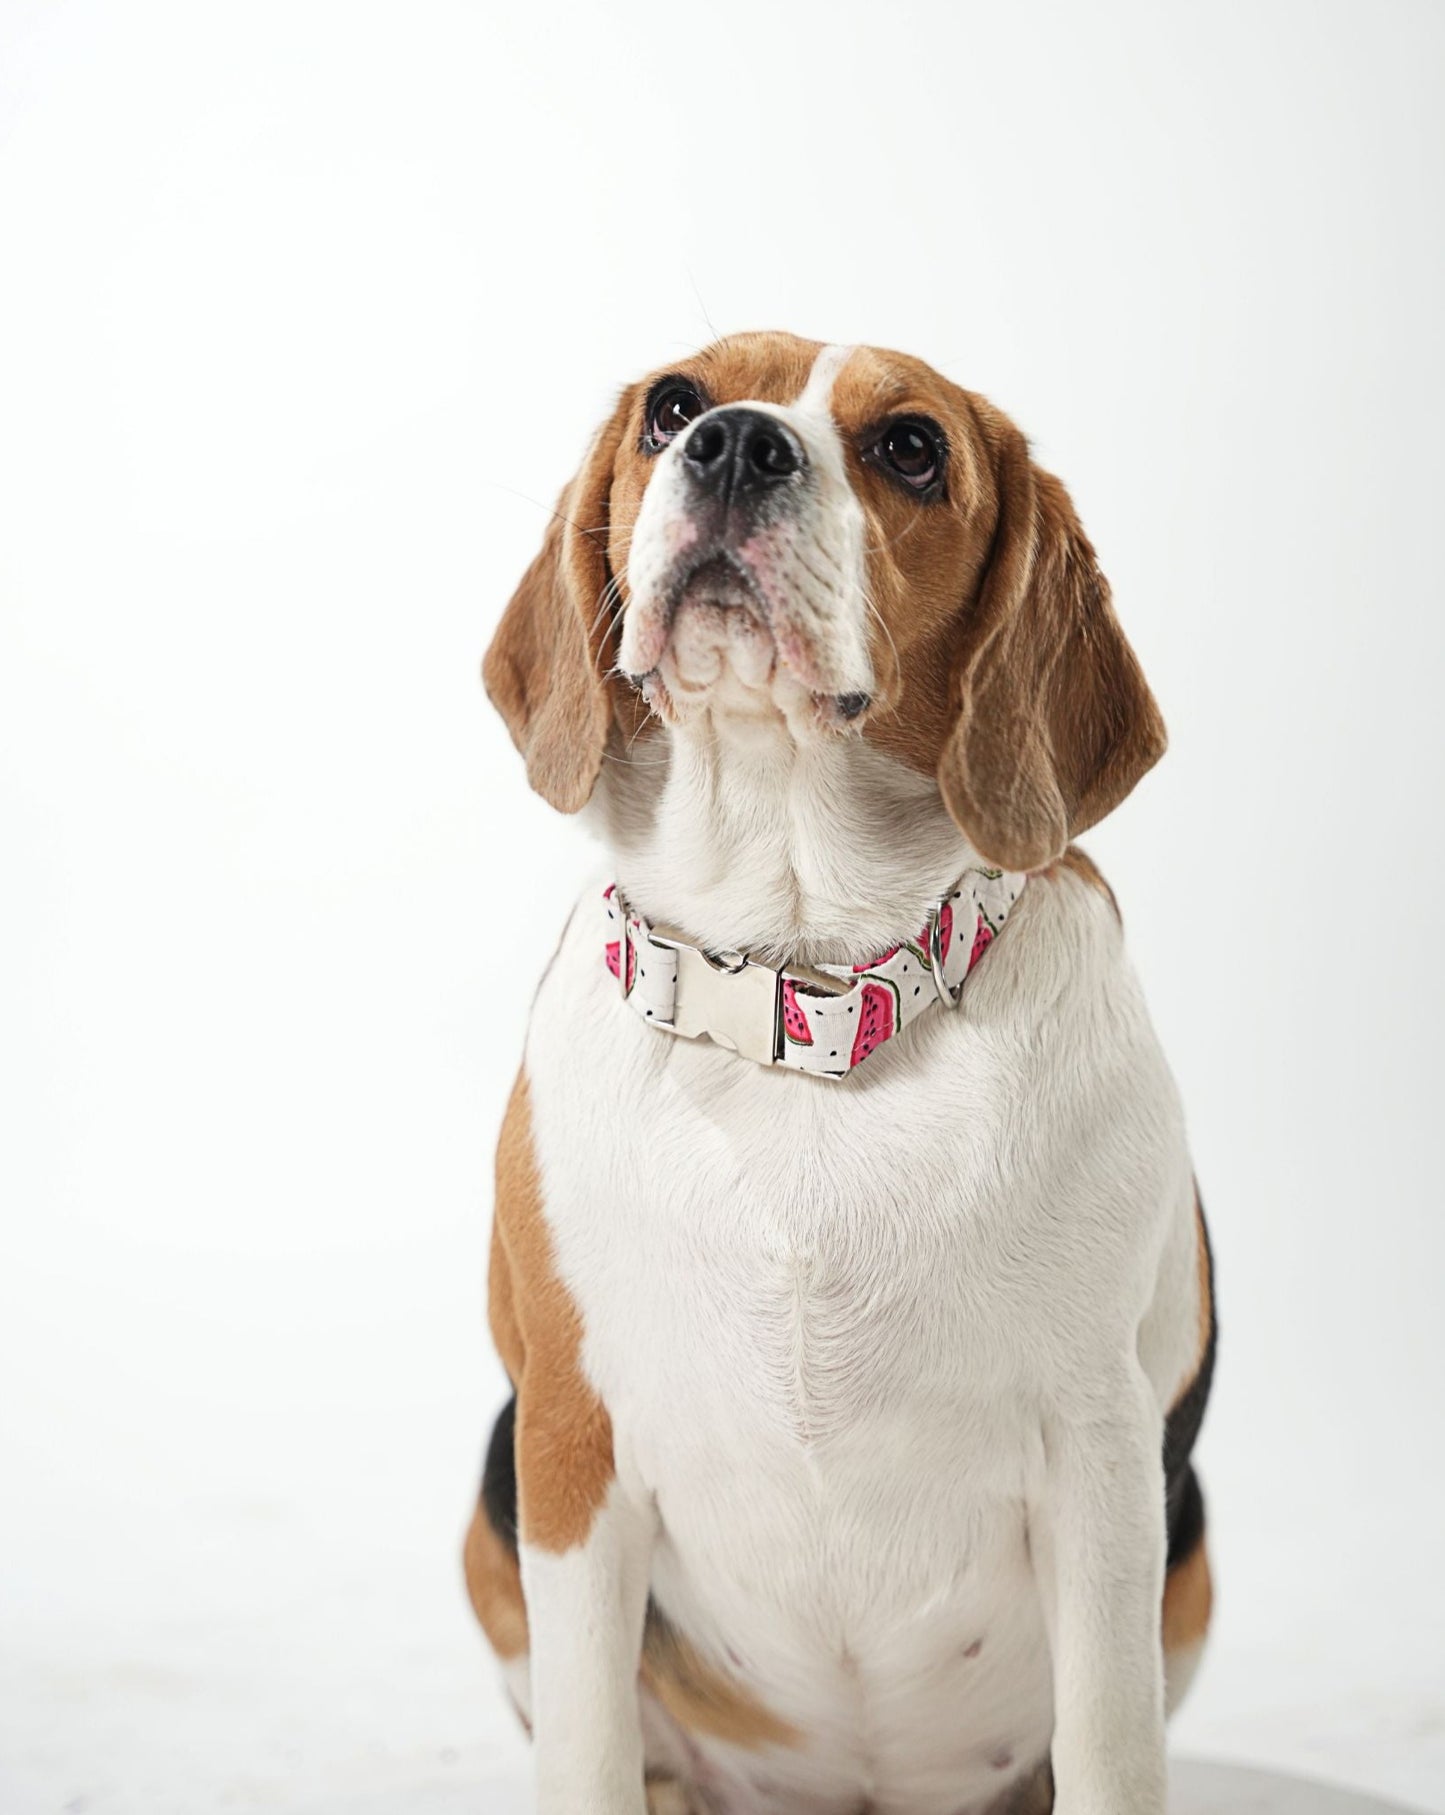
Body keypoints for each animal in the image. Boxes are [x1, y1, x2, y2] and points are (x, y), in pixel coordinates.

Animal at [468, 330, 1212, 1815]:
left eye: (911, 448)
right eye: (673, 405)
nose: (737, 445)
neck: (800, 994)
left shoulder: (1103, 1457)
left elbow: (1110, 1745)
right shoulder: (567, 1443)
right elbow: (585, 1742)